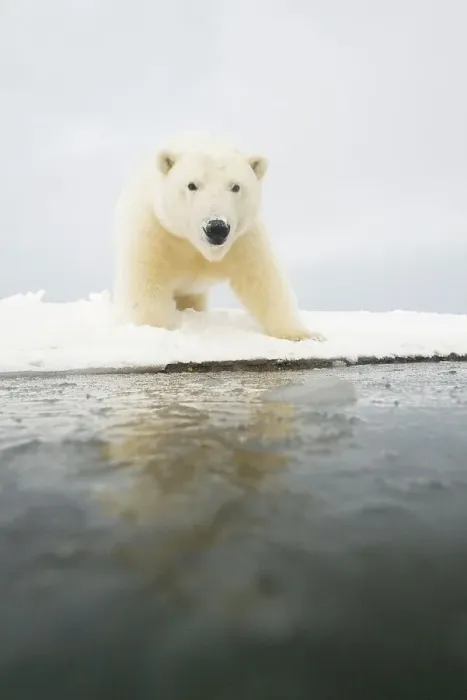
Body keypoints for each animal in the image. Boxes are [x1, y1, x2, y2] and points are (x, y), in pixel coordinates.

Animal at [112, 133, 324, 342]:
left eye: (236, 186)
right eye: (192, 185)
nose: (216, 228)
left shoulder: (243, 239)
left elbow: (263, 280)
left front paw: (303, 334)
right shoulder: (155, 232)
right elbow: (147, 284)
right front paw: (156, 329)